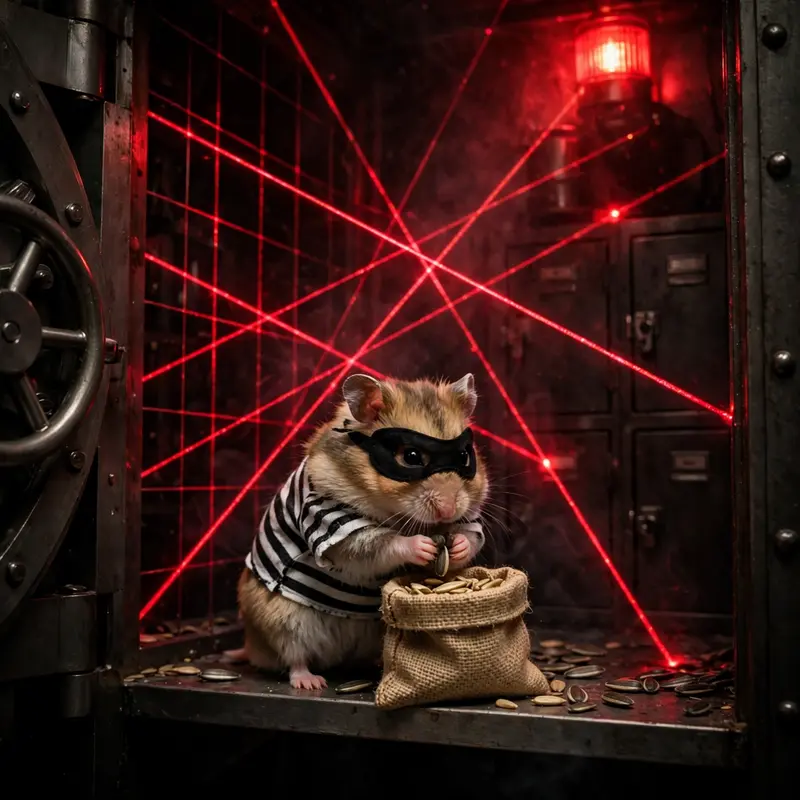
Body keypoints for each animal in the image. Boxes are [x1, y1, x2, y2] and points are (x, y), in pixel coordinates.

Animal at [236, 372, 489, 690]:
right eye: (411, 456)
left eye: (465, 456)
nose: (448, 510)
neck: (395, 512)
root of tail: (252, 647)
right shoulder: (332, 523)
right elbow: (380, 544)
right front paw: (422, 545)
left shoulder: (470, 517)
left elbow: (470, 536)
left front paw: (456, 546)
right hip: (282, 622)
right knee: (294, 657)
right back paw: (311, 682)